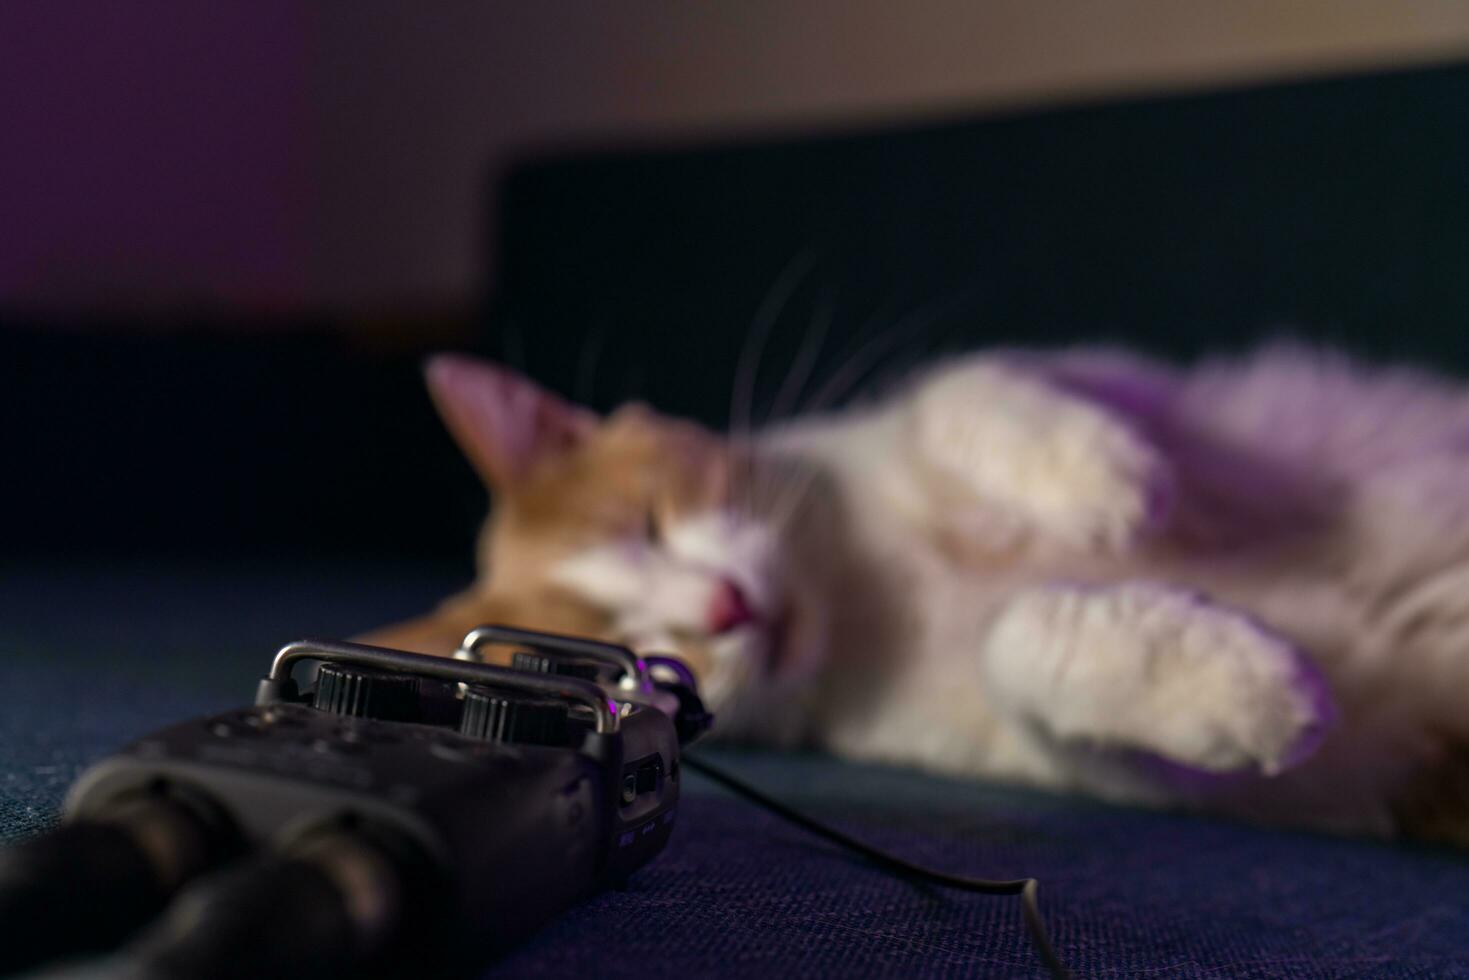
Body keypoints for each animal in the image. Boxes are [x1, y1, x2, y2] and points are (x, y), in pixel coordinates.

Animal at [361, 348, 1469, 846]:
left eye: (647, 520)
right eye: (630, 657)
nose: (721, 607)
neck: (866, 600)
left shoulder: (1158, 406)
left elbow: (958, 388)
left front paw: (1097, 477)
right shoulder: (1099, 765)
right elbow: (1019, 659)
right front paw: (1241, 686)